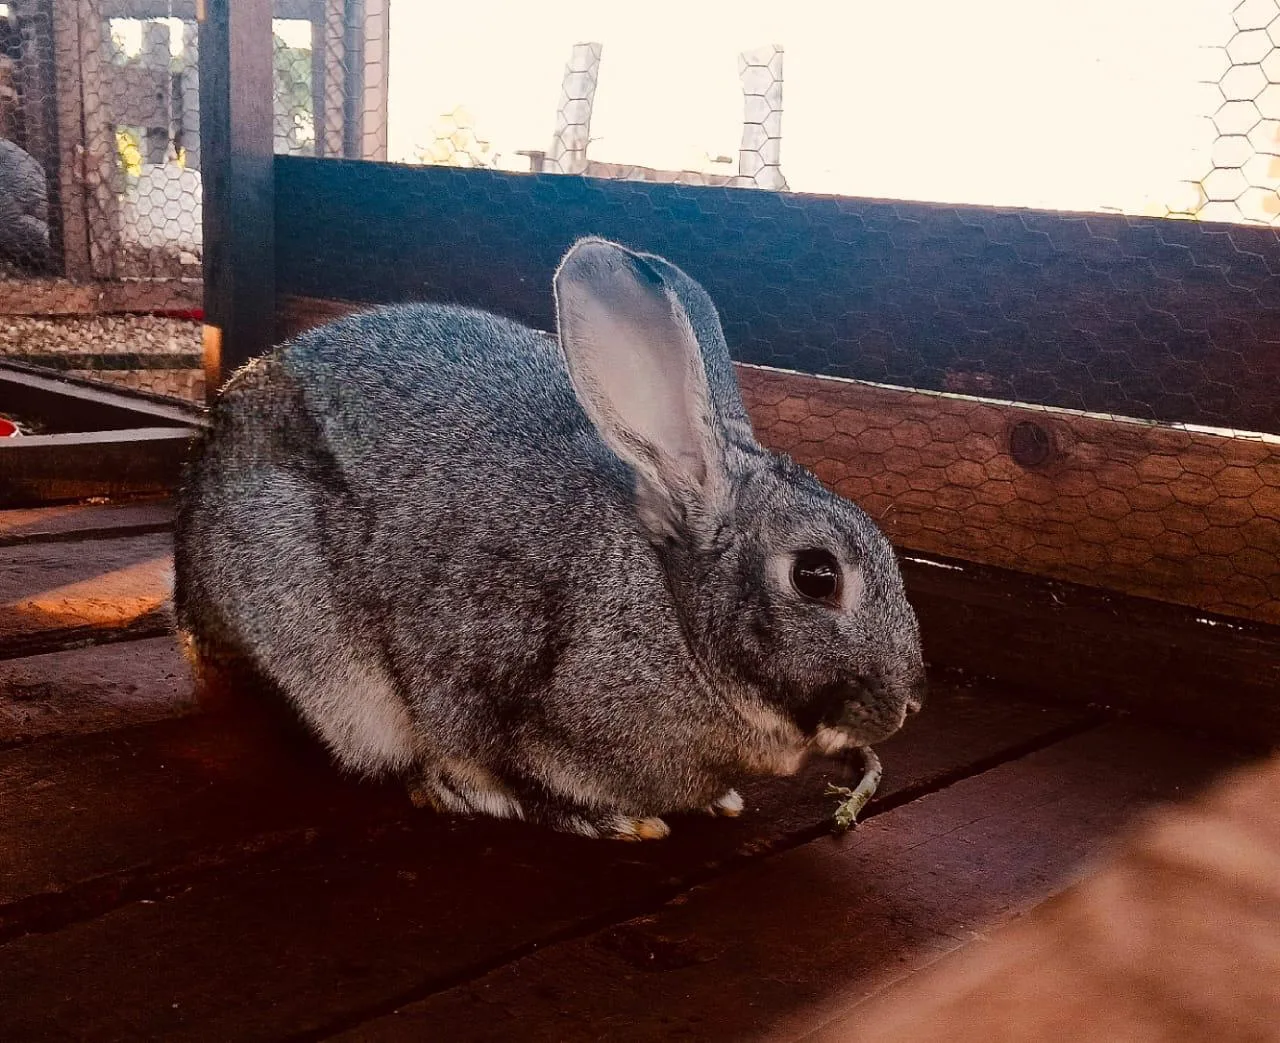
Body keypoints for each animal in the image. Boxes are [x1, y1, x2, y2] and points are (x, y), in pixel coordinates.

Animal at [173, 237, 926, 840]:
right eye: (816, 575)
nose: (903, 707)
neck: (673, 618)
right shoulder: (482, 682)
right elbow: (481, 766)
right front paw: (608, 820)